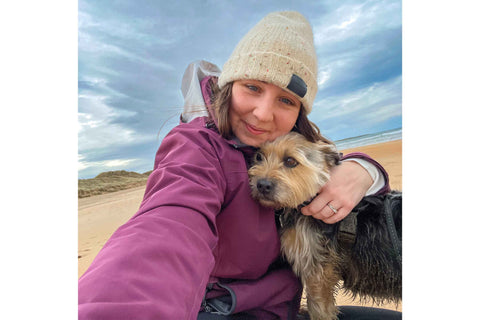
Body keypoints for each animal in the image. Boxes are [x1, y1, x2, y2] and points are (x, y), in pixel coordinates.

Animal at [248, 132, 402, 320]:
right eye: (258, 156)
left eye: (290, 161)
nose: (262, 184)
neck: (309, 199)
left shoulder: (318, 273)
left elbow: (319, 307)